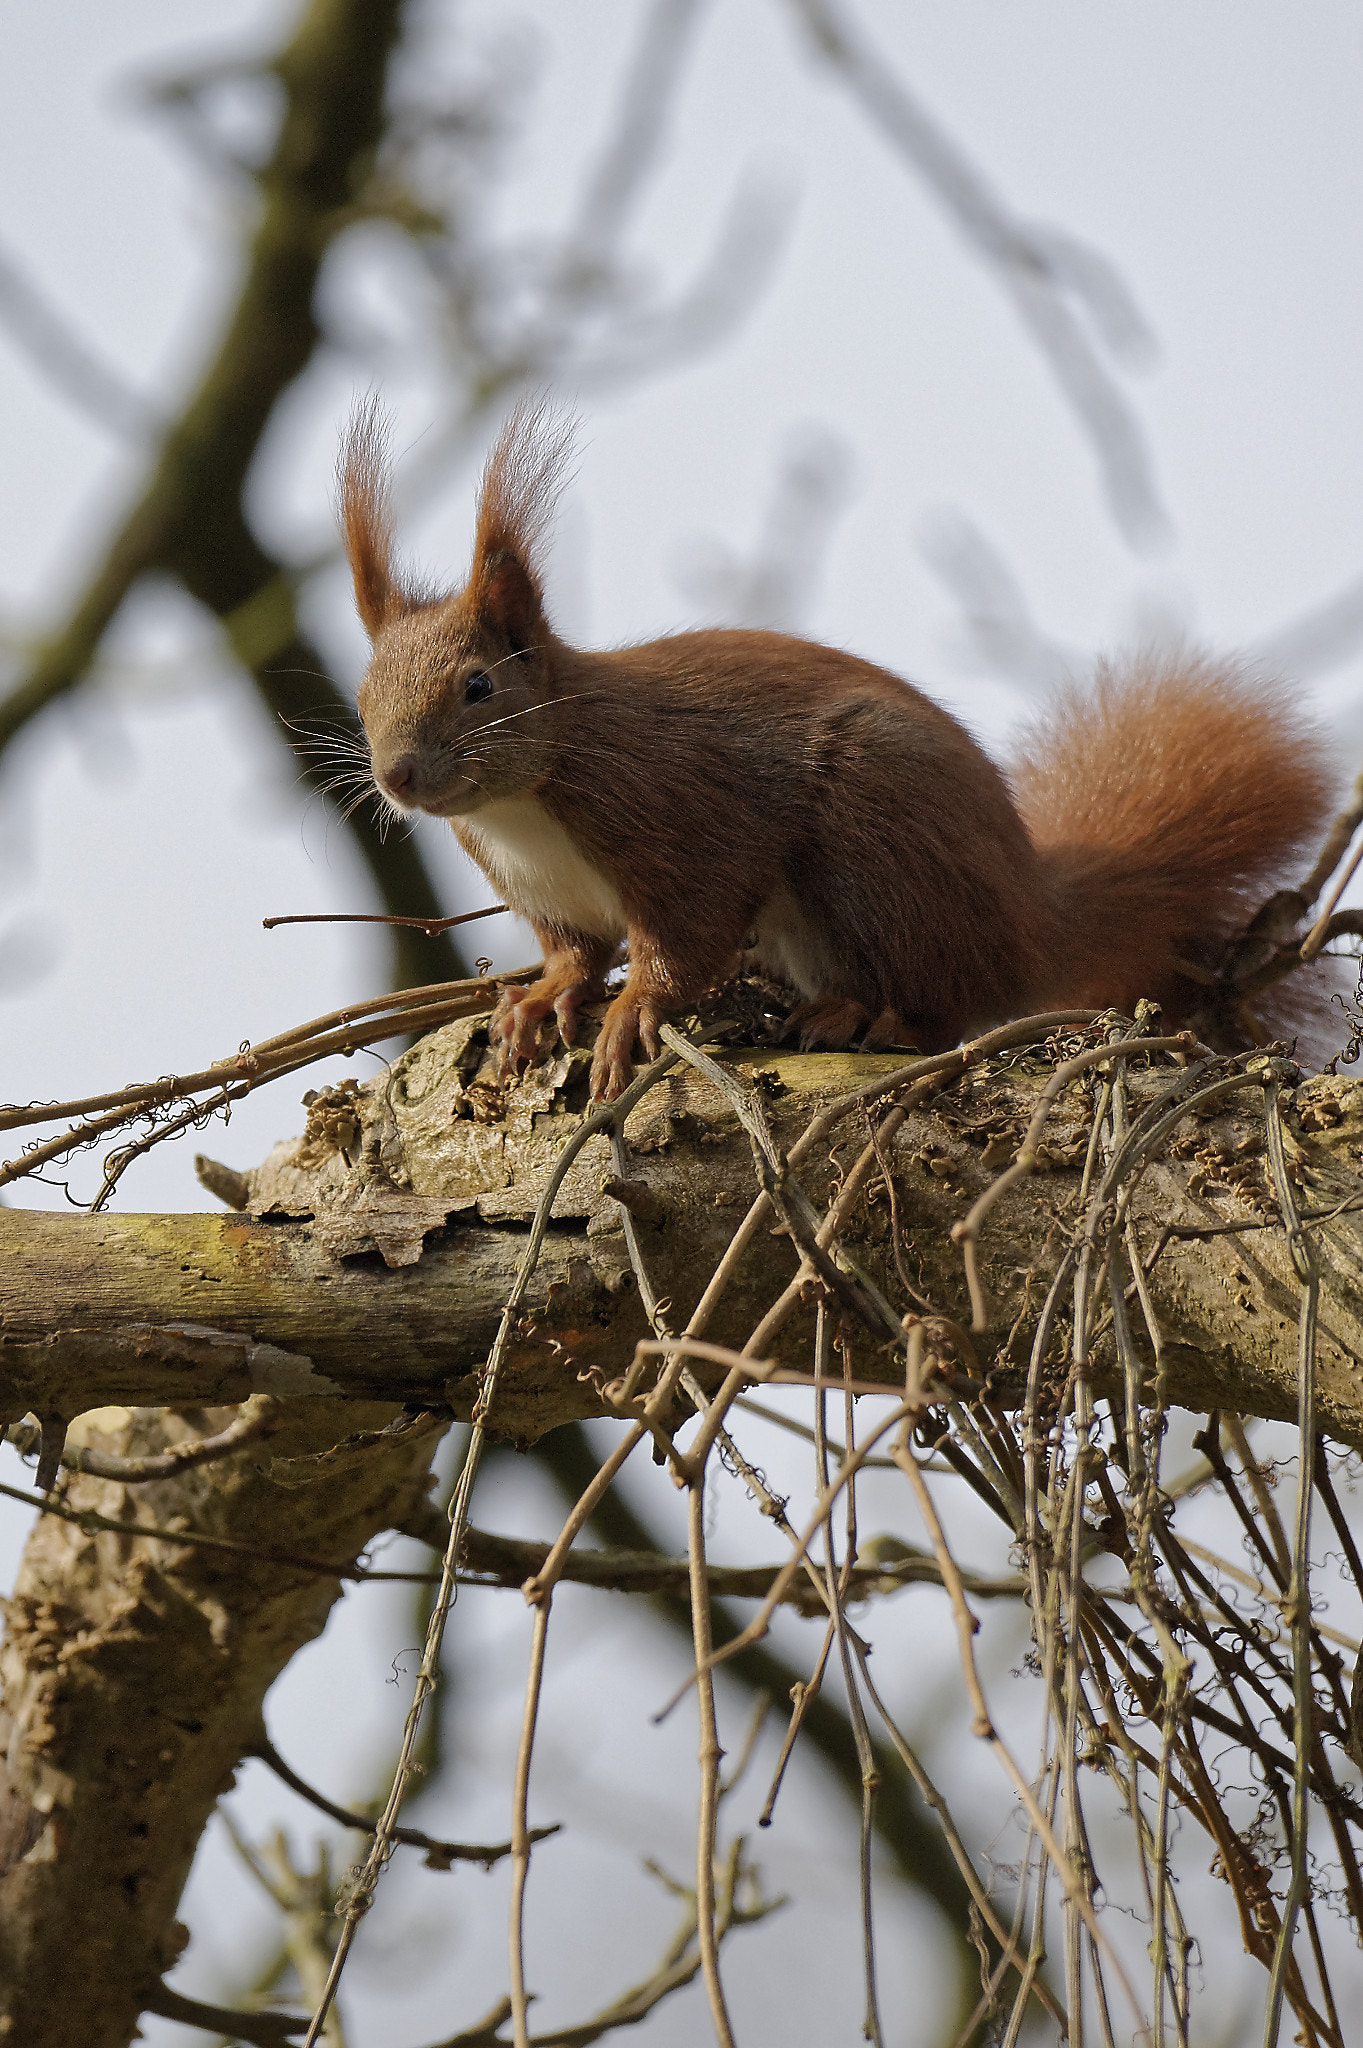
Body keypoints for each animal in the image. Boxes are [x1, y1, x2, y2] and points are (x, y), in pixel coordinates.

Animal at [340, 400, 1337, 1101]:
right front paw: (544, 998)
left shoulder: (680, 814)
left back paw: (866, 1014)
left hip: (872, 834)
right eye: (363, 689)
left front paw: (633, 1011)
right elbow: (573, 953)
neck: (526, 802)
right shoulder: (546, 893)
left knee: (940, 1002)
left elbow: (687, 935)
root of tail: (1027, 921)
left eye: (479, 688)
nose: (396, 775)